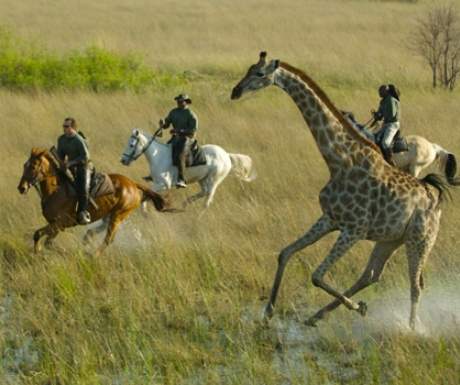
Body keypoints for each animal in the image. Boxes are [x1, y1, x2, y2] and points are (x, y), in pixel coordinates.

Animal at [18, 147, 169, 255]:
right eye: (24, 165)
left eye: (33, 166)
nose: (21, 188)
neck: (55, 191)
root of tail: (133, 184)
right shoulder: (55, 226)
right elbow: (41, 237)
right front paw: (39, 250)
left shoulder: (60, 224)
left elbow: (42, 237)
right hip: (109, 215)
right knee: (95, 232)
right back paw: (87, 241)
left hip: (118, 216)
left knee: (108, 239)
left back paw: (93, 255)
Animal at [120, 128, 256, 207]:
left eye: (131, 145)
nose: (123, 160)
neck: (158, 156)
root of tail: (226, 155)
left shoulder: (163, 184)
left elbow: (147, 194)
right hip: (202, 179)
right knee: (204, 192)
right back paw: (186, 203)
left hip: (214, 180)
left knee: (208, 198)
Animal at [230, 50, 450, 328]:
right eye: (248, 69)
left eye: (259, 73)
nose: (235, 91)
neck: (338, 161)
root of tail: (436, 201)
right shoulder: (330, 218)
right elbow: (285, 253)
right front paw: (268, 311)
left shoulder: (354, 229)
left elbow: (316, 275)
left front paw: (357, 307)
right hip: (390, 239)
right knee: (372, 274)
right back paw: (317, 315)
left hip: (420, 239)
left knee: (415, 285)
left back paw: (411, 328)